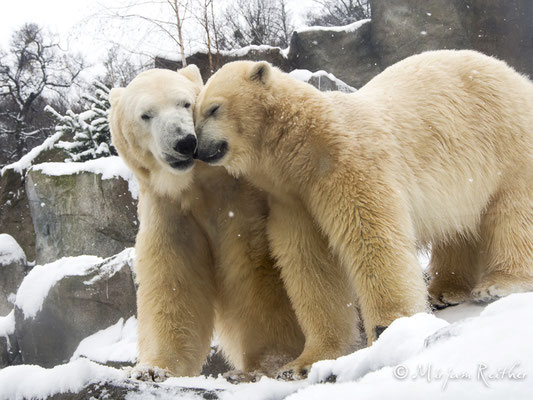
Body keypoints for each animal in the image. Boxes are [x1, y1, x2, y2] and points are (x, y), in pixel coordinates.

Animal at [193, 49, 532, 366]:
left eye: (214, 108)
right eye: (194, 114)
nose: (196, 147)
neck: (305, 144)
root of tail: (517, 76)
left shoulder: (350, 165)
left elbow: (371, 237)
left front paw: (388, 328)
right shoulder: (294, 200)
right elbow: (310, 264)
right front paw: (305, 361)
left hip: (506, 138)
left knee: (514, 210)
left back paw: (499, 284)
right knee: (459, 229)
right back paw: (445, 290)